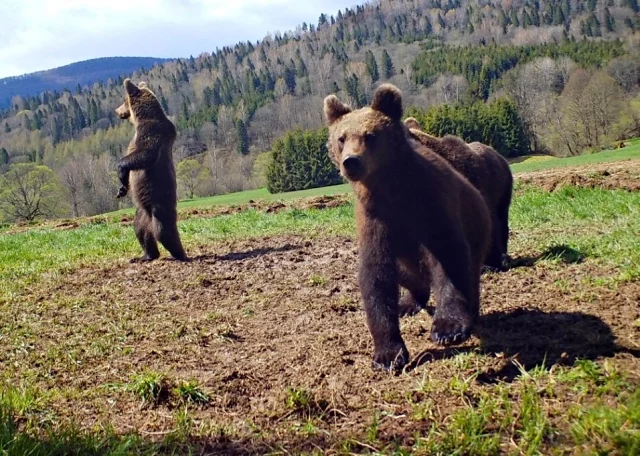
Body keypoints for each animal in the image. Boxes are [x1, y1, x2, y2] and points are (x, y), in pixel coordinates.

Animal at [115, 79, 188, 262]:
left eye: (123, 100)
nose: (116, 111)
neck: (142, 118)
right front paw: (122, 188)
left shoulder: (151, 133)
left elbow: (144, 155)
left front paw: (120, 171)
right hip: (141, 213)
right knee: (140, 231)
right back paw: (145, 255)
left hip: (159, 206)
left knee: (164, 231)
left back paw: (180, 254)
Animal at [324, 83, 490, 372]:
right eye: (341, 137)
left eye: (370, 135)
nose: (351, 161)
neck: (391, 190)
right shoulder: (376, 220)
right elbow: (376, 276)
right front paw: (388, 354)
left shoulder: (429, 204)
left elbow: (448, 256)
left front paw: (448, 328)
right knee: (409, 276)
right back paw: (408, 302)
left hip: (478, 231)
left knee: (469, 271)